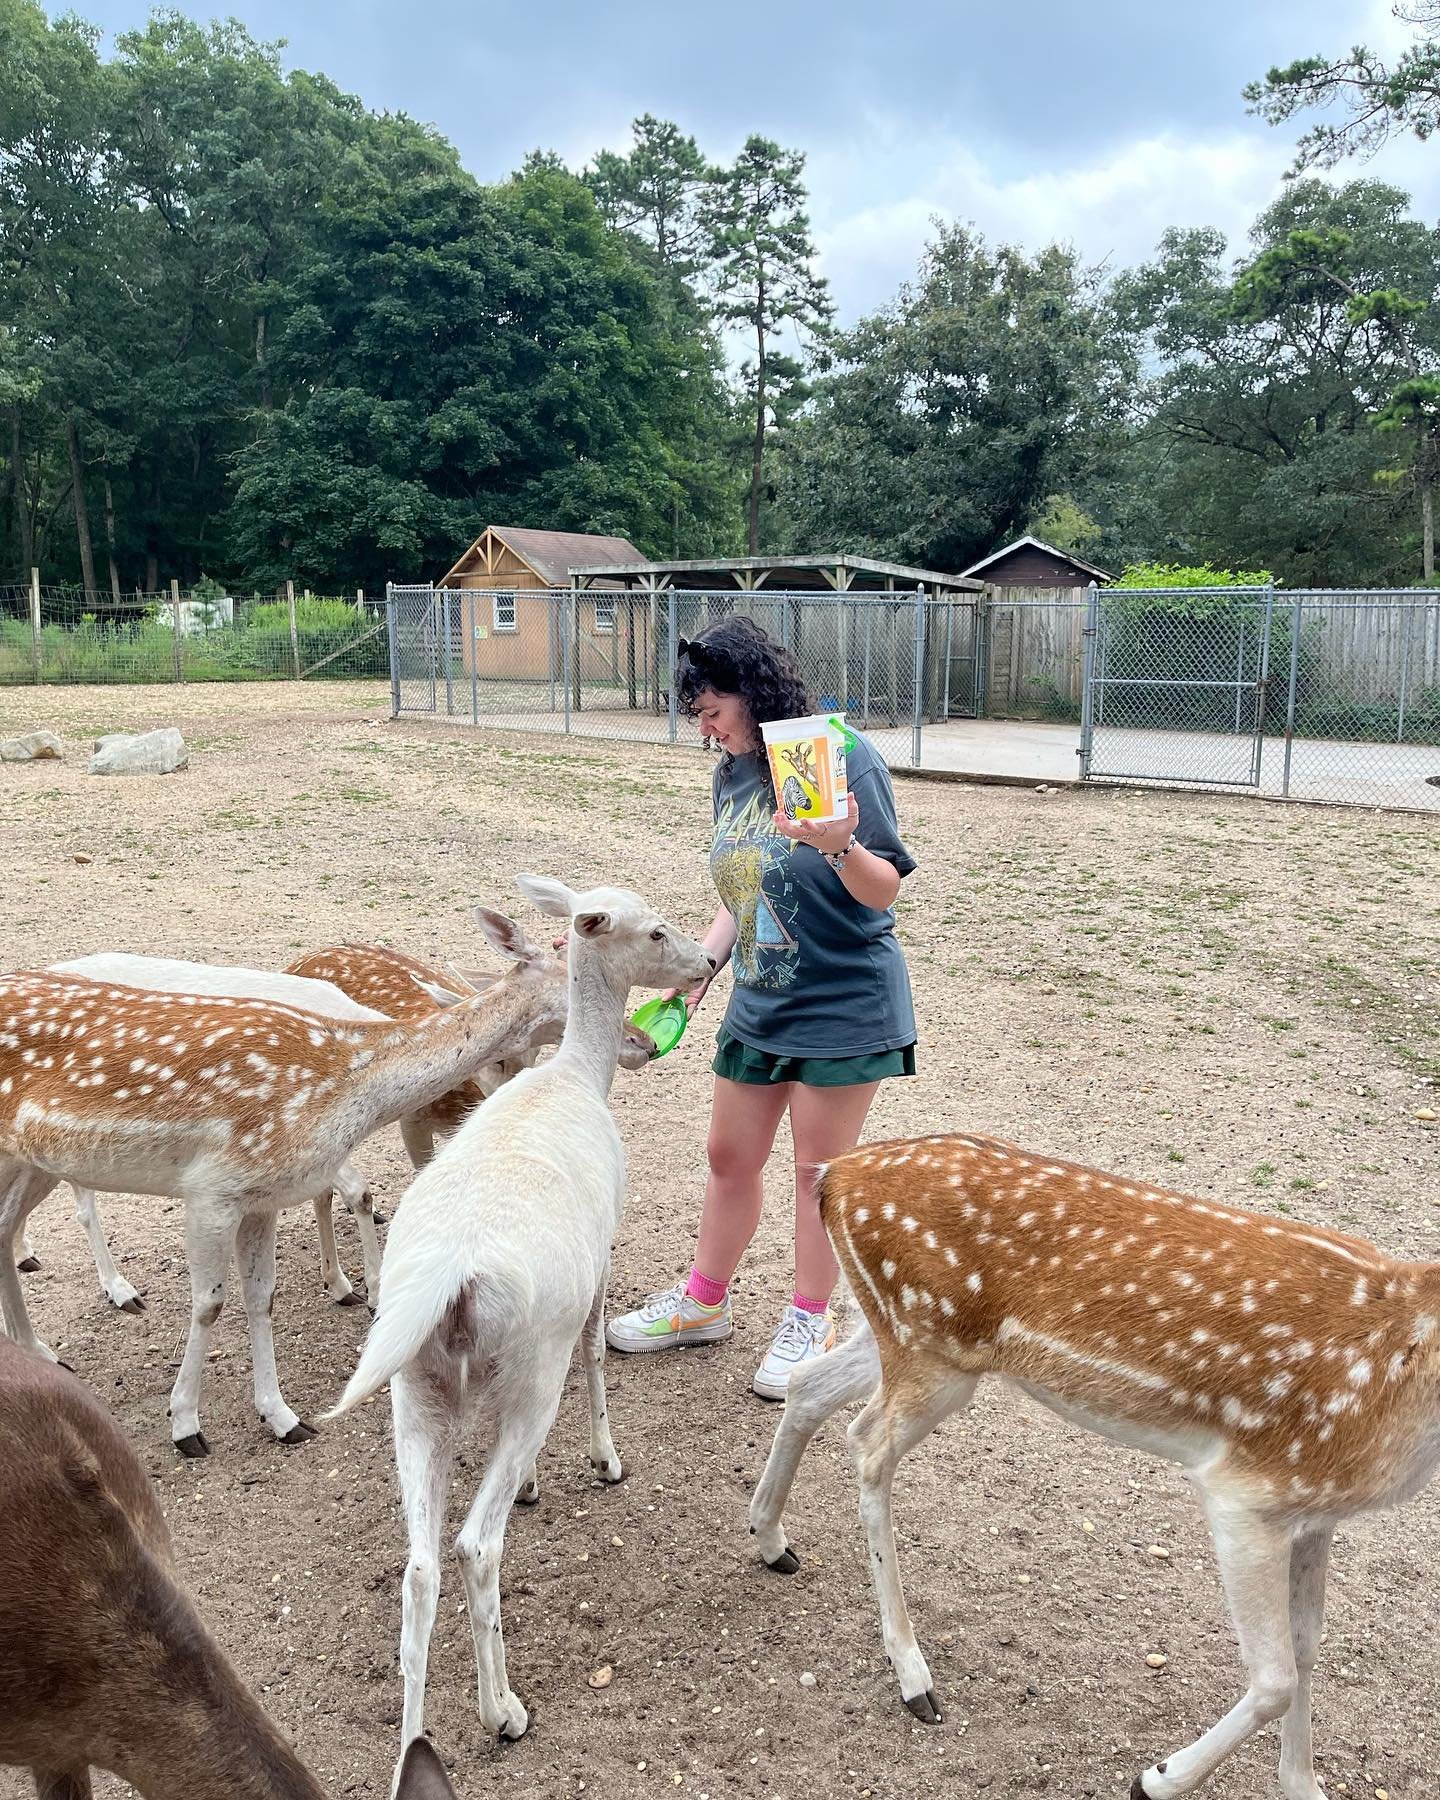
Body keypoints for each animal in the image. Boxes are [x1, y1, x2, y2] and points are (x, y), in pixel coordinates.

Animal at [0, 914, 572, 1461]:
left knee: (5, 1230)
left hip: (32, 1161)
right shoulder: (210, 1190)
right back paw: (104, 1303)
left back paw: (37, 1350)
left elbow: (261, 1297)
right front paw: (186, 1425)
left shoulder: (261, 1198)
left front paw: (284, 1418)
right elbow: (208, 1303)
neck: (343, 1083)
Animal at [324, 874, 712, 1771]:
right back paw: (503, 1710)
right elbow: (598, 1356)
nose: (709, 960)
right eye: (655, 930)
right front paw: (606, 1461)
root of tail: (454, 1284)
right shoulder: (601, 1256)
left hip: (414, 1388)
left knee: (420, 1565)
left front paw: (537, 1482)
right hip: (530, 1367)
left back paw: (414, 1746)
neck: (575, 1078)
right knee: (475, 1544)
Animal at [748, 1137, 1440, 1800]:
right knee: (865, 1444)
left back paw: (770, 1539)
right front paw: (1154, 1779)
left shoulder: (1315, 1511)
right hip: (928, 1349)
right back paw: (915, 1678)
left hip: (898, 1335)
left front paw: (1303, 1786)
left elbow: (1307, 1647)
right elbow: (1276, 1679)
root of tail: (834, 1177)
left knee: (809, 1387)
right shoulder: (1247, 1492)